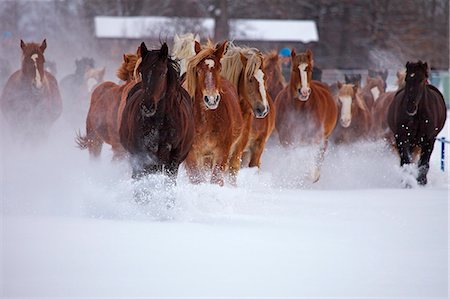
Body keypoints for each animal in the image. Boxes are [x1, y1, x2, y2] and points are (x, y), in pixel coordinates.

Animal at [118, 43, 194, 182]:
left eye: (162, 73)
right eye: (142, 71)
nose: (148, 106)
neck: (160, 123)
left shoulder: (173, 160)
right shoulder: (141, 157)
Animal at [182, 39, 243, 185]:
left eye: (219, 68)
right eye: (198, 70)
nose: (211, 99)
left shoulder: (221, 151)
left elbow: (216, 179)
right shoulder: (192, 154)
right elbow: (197, 179)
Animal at [274, 49, 338, 183]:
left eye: (310, 69)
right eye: (294, 69)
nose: (303, 92)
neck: (299, 107)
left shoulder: (314, 138)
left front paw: (311, 176)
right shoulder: (287, 139)